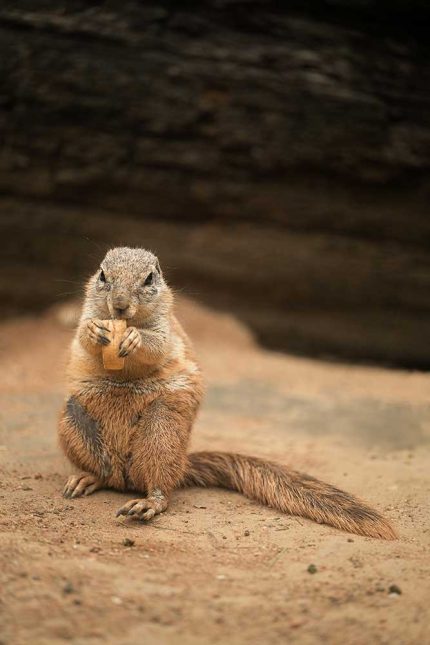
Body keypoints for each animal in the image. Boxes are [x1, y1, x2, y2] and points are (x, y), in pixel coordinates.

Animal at [58, 247, 396, 539]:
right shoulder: (87, 313)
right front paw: (95, 331)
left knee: (159, 485)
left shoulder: (167, 329)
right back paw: (86, 478)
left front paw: (135, 338)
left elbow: (157, 345)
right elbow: (83, 335)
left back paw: (148, 502)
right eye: (103, 274)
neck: (127, 321)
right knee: (106, 474)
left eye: (149, 279)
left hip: (161, 432)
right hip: (73, 422)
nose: (119, 305)